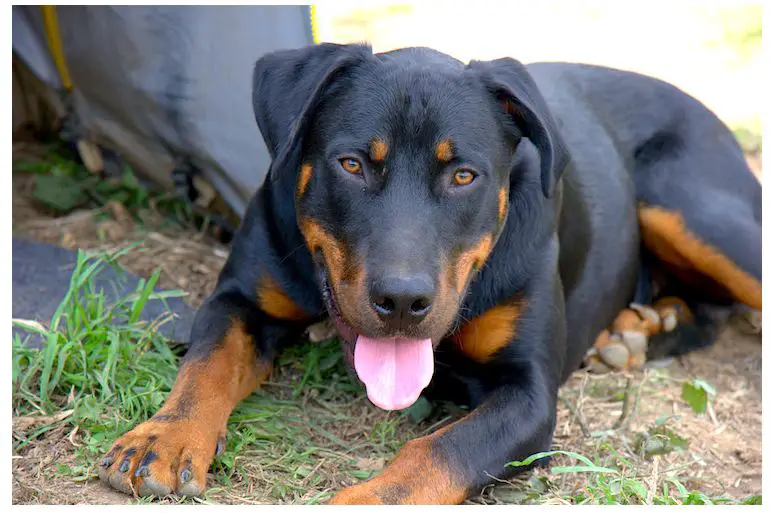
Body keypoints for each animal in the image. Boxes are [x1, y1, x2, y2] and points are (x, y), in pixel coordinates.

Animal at [95, 43, 756, 500]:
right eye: (352, 164)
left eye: (463, 175)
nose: (402, 301)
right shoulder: (241, 300)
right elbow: (205, 366)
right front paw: (163, 438)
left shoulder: (529, 393)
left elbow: (439, 451)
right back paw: (641, 329)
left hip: (697, 212)